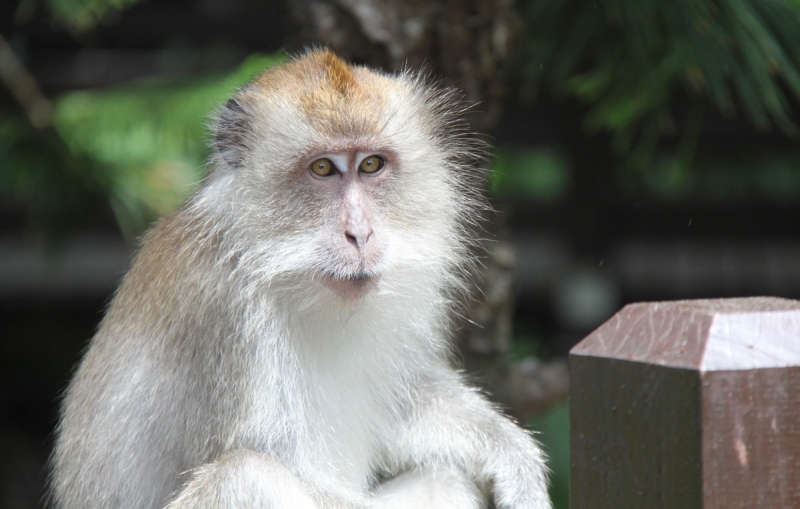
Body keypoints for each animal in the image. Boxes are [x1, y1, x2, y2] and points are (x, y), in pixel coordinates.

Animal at [50, 48, 552, 508]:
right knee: (246, 476)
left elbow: (403, 403)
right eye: (323, 168)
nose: (360, 233)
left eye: (371, 165)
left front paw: (513, 455)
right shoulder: (222, 312)